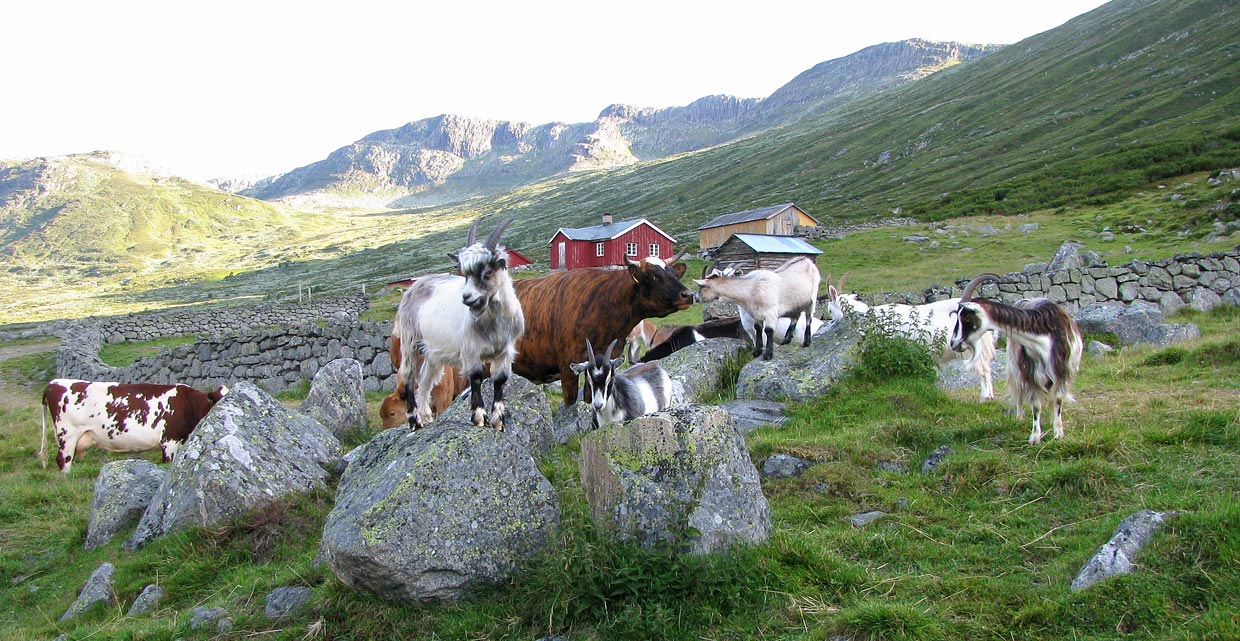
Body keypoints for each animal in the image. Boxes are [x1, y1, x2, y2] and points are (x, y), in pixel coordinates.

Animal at [39, 376, 229, 471]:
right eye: (220, 401)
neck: (189, 403)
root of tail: (54, 383)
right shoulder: (169, 441)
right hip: (67, 436)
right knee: (63, 460)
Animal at [389, 214, 520, 428]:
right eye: (464, 273)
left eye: (487, 272)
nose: (466, 297)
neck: (492, 323)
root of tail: (415, 285)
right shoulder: (470, 349)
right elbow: (476, 377)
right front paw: (479, 417)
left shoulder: (505, 350)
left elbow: (500, 380)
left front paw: (498, 422)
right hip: (410, 340)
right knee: (408, 375)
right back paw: (415, 421)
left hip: (432, 351)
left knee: (425, 379)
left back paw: (427, 416)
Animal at [947, 272, 1086, 441]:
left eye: (966, 318)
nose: (953, 343)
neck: (1043, 339)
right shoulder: (1030, 373)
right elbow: (1036, 405)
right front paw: (1035, 437)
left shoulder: (1061, 371)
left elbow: (1058, 400)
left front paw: (1058, 433)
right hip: (1015, 365)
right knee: (1018, 390)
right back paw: (1019, 418)